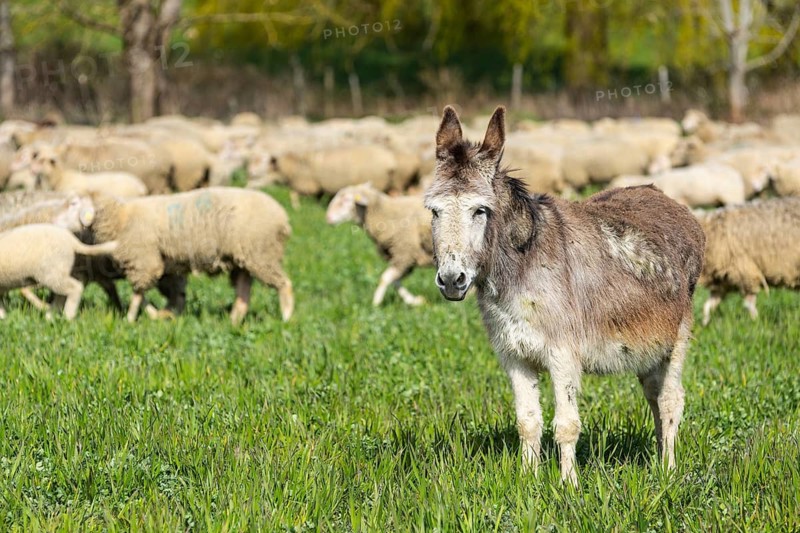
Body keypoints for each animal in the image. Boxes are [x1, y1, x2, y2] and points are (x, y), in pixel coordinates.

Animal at [90, 187, 293, 325]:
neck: (122, 217)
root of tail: (283, 218)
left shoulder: (144, 259)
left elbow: (139, 292)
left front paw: (132, 318)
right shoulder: (163, 265)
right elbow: (174, 293)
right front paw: (165, 314)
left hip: (261, 254)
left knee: (284, 284)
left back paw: (286, 316)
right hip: (244, 259)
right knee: (243, 294)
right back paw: (232, 321)